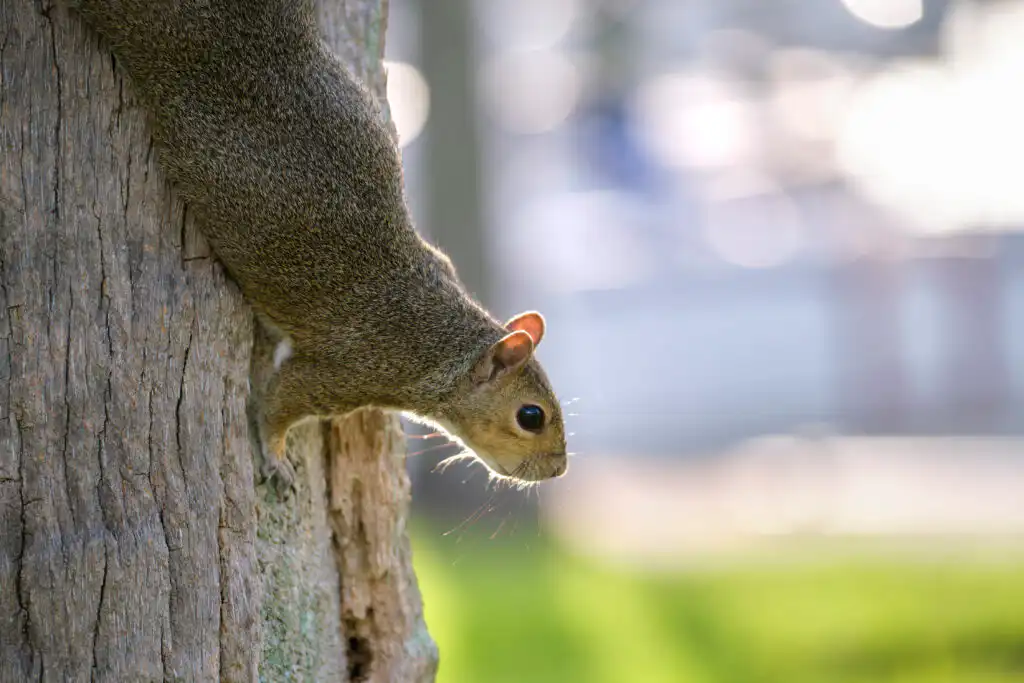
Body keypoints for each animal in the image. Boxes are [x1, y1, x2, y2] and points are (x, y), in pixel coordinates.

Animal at [71, 0, 568, 486]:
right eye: (531, 416)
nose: (558, 469)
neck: (439, 341)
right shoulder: (347, 374)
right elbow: (278, 402)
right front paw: (274, 459)